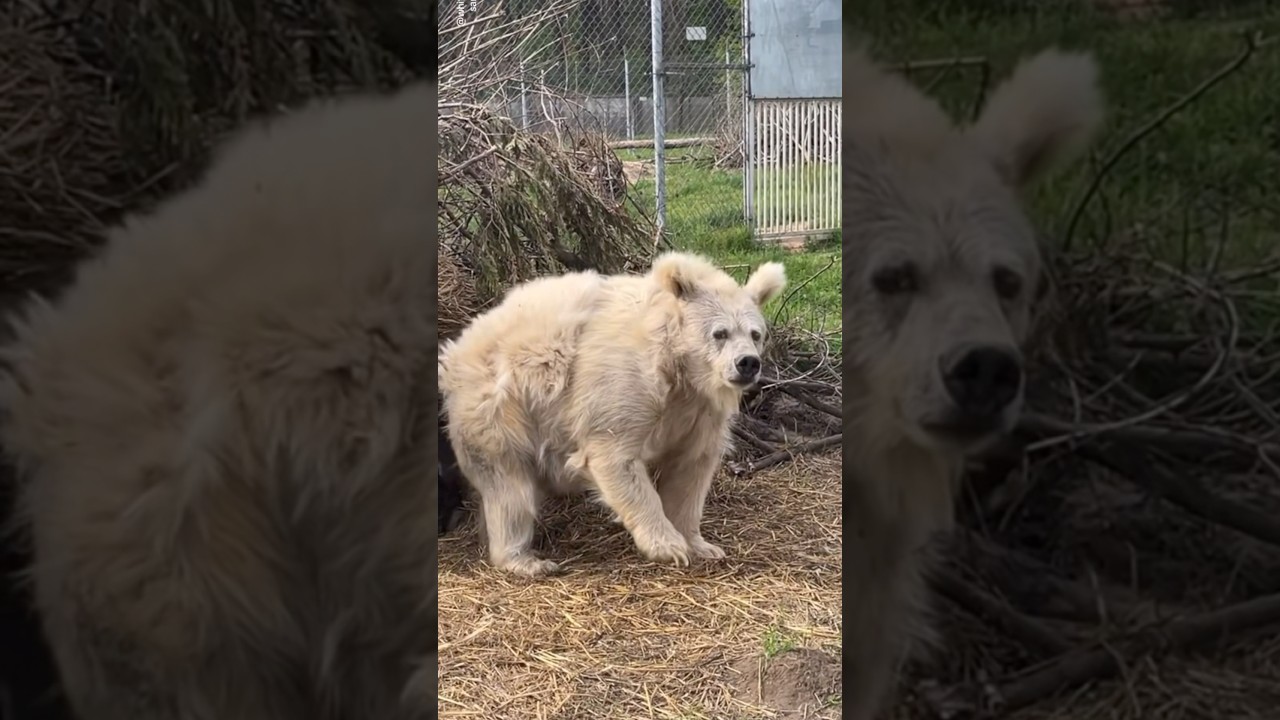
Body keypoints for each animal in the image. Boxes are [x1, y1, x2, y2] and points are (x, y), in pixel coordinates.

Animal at [438, 252, 787, 577]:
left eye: (755, 333)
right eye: (720, 333)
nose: (747, 363)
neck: (677, 368)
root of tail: (456, 350)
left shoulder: (699, 410)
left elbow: (691, 470)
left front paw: (702, 545)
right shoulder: (624, 383)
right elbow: (615, 456)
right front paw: (668, 546)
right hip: (499, 409)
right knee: (510, 489)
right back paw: (526, 560)